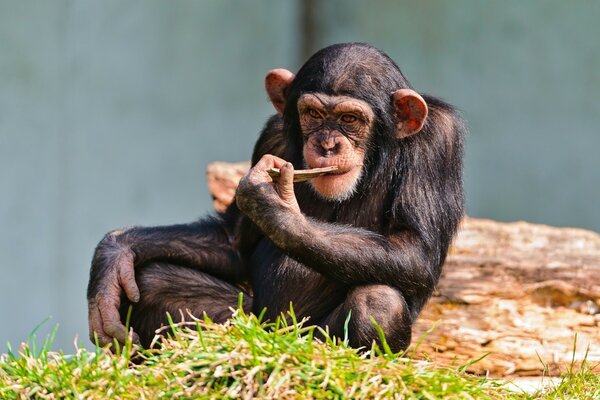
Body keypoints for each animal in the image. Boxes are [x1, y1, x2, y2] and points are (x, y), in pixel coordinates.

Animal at [88, 42, 464, 352]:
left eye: (349, 118)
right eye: (313, 114)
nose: (327, 144)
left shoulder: (439, 142)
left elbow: (413, 247)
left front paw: (273, 207)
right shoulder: (271, 138)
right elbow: (234, 240)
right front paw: (115, 253)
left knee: (379, 302)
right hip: (253, 321)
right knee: (152, 282)